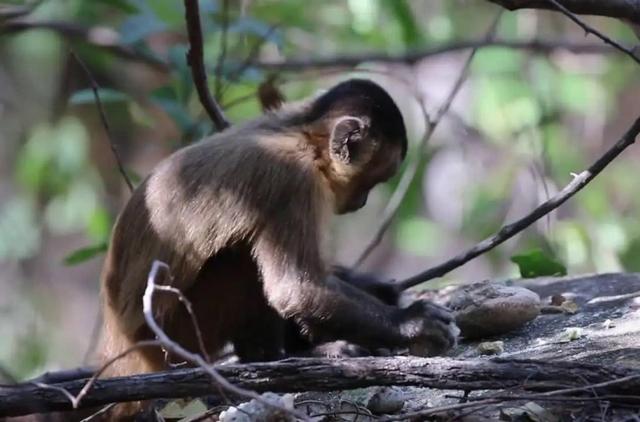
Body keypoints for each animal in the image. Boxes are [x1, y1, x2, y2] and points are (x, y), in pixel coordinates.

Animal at [100, 78, 458, 382]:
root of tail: (121, 340)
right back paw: (271, 358)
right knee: (242, 256)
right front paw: (411, 322)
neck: (301, 135)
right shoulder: (294, 179)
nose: (362, 201)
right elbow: (295, 289)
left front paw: (382, 290)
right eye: (374, 180)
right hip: (178, 335)